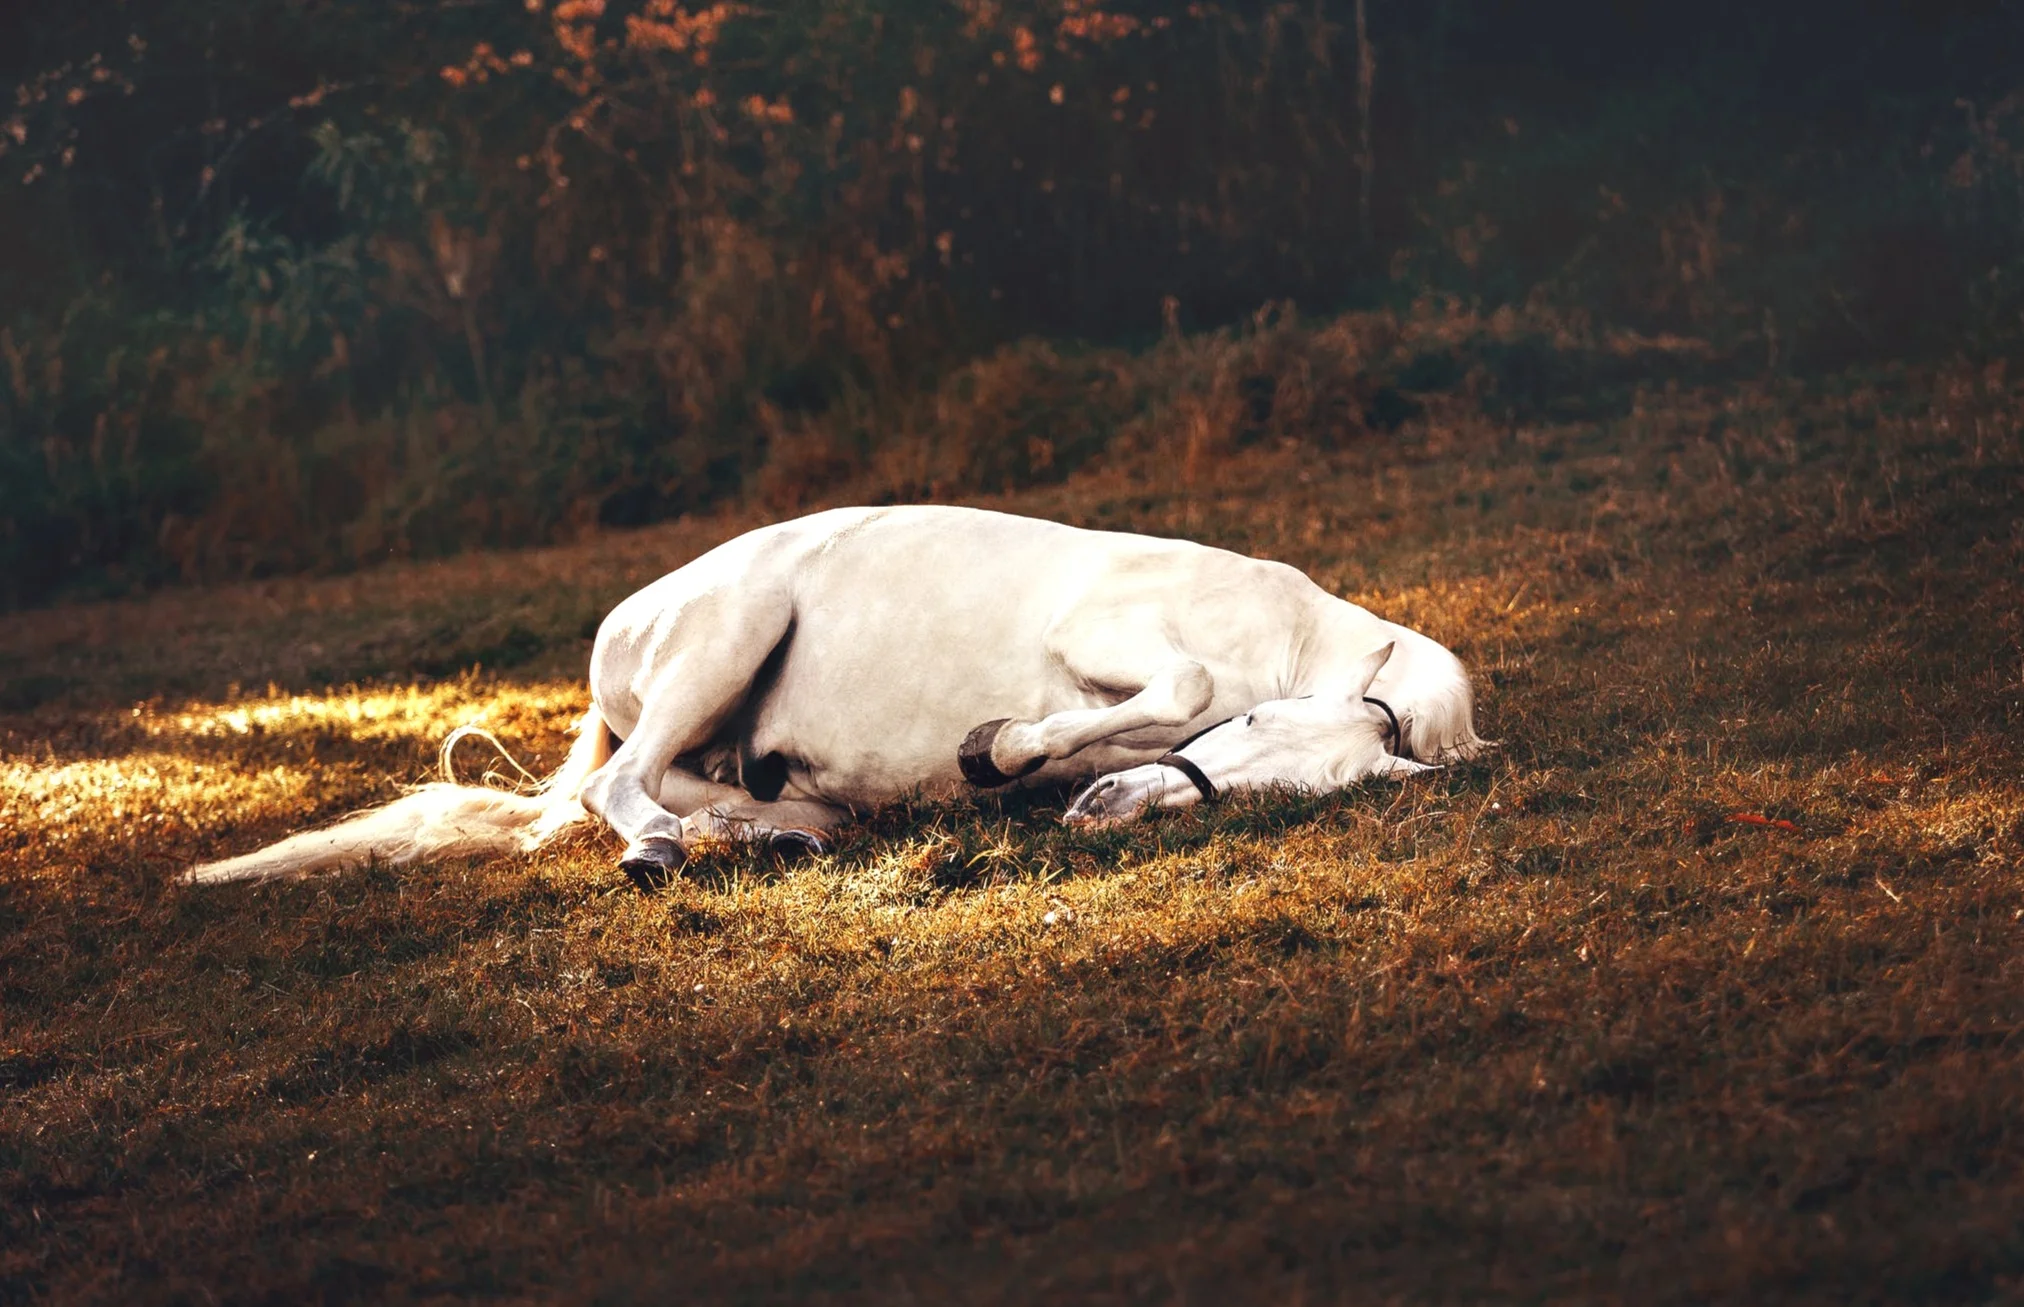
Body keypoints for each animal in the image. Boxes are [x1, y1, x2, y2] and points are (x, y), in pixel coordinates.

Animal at [184, 505, 1488, 887]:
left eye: (1278, 795)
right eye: (1252, 730)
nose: (1104, 812)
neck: (1285, 629)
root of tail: (627, 618)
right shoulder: (1107, 635)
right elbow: (1176, 682)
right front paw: (996, 746)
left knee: (698, 790)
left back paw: (767, 831)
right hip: (729, 630)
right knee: (620, 789)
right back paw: (663, 849)